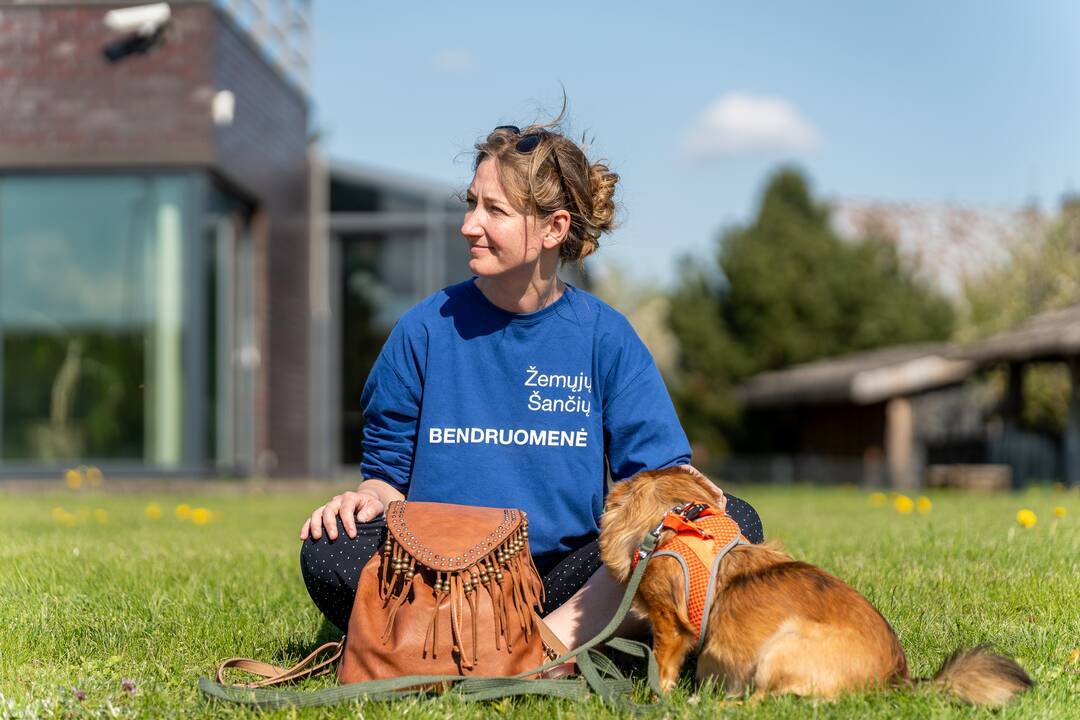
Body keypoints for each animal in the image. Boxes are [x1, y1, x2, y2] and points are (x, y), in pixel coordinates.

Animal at [596, 464, 1032, 708]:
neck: (679, 523)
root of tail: (896, 679)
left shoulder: (669, 624)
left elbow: (661, 666)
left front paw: (654, 698)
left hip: (781, 649)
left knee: (762, 703)